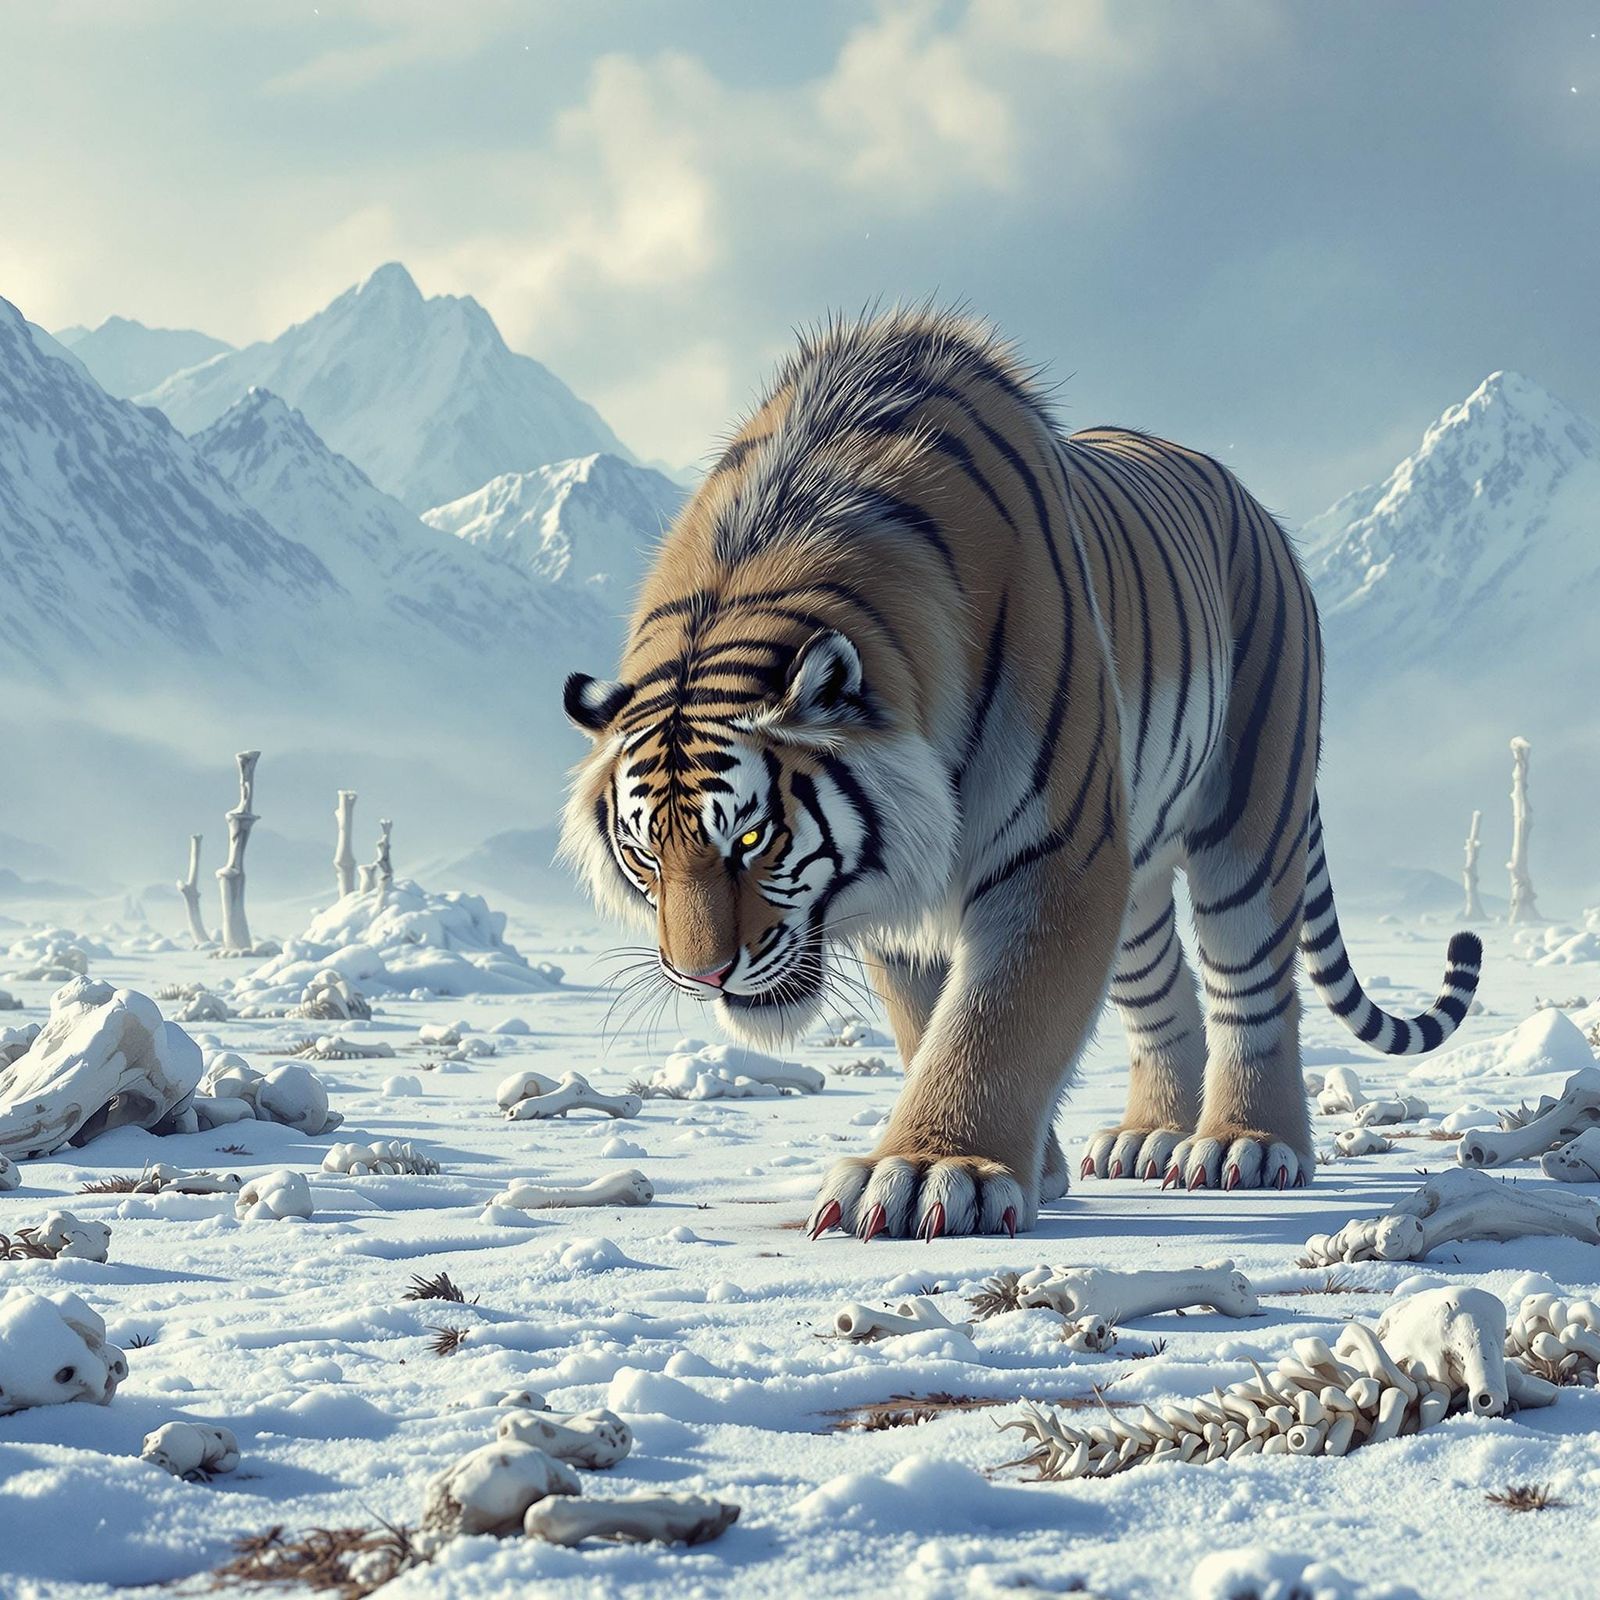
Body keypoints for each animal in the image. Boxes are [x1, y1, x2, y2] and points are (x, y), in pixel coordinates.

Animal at [560, 306, 1482, 1241]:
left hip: (1249, 813)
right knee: (1165, 988)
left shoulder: (1059, 849)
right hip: (1136, 870)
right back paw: (1149, 1136)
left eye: (750, 839)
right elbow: (930, 1020)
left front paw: (933, 1172)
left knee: (1248, 981)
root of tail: (1256, 509)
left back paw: (1244, 1147)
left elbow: (996, 1014)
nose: (700, 975)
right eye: (644, 853)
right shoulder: (911, 890)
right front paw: (1027, 1167)